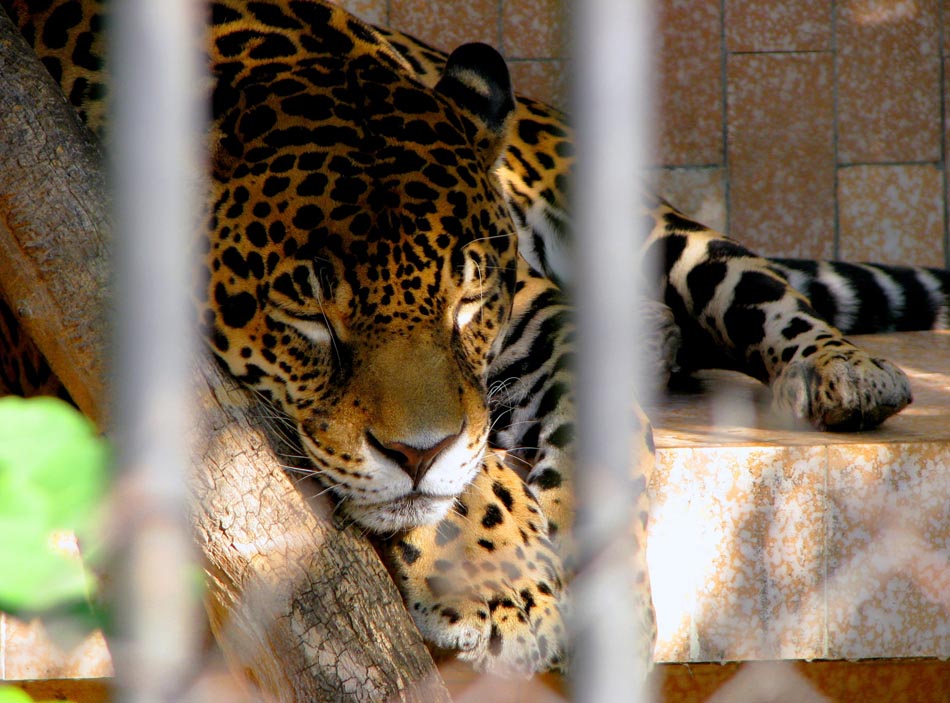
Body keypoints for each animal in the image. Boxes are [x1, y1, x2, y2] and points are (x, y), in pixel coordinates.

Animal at [3, 0, 949, 680]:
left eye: (464, 304)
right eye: (309, 316)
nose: (414, 450)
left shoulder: (539, 314)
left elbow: (593, 432)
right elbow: (464, 473)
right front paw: (501, 583)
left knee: (751, 284)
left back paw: (847, 373)